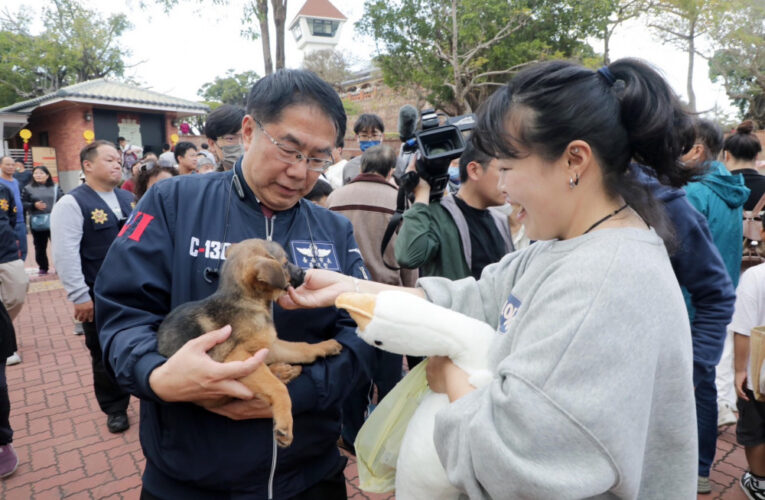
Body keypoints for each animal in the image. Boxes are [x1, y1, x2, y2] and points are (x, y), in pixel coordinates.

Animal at [157, 238, 342, 446]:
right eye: (285, 263)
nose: (305, 273)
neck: (246, 301)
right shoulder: (237, 358)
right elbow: (277, 388)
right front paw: (285, 424)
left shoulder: (269, 345)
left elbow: (301, 348)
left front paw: (326, 346)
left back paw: (283, 370)